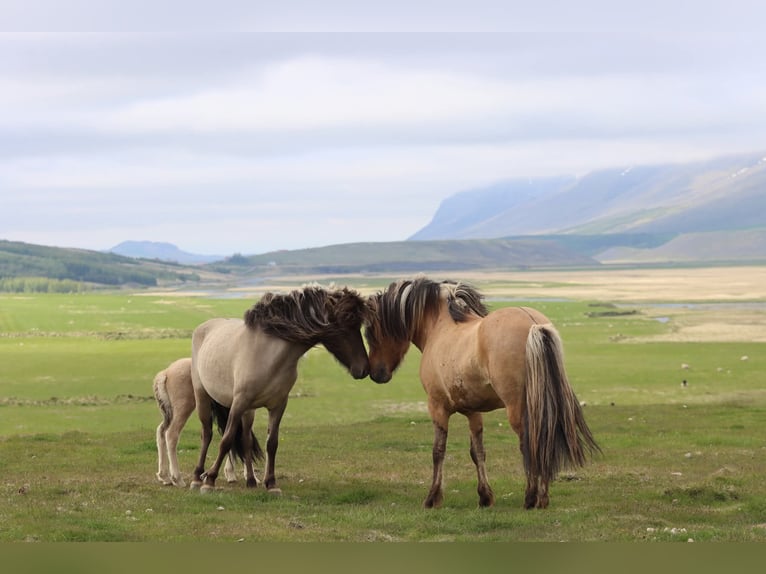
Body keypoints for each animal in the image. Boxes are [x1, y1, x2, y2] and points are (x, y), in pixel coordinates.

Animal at [153, 357, 254, 487]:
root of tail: (166, 372)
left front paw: (231, 473)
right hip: (184, 409)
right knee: (171, 434)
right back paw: (178, 479)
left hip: (170, 414)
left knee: (161, 431)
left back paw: (164, 476)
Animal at [190, 285, 370, 493]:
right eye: (347, 323)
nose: (364, 368)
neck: (269, 355)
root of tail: (203, 328)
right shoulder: (238, 403)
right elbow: (226, 440)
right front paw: (210, 480)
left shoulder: (278, 405)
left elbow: (272, 443)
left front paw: (271, 483)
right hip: (203, 397)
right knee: (207, 434)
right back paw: (197, 478)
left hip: (249, 411)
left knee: (245, 439)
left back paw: (251, 480)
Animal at [365, 277, 599, 510]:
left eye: (370, 333)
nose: (376, 373)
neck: (439, 327)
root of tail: (533, 323)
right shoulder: (473, 412)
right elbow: (477, 452)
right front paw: (485, 496)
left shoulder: (437, 407)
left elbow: (438, 451)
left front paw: (433, 498)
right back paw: (542, 498)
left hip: (518, 409)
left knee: (530, 443)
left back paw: (532, 497)